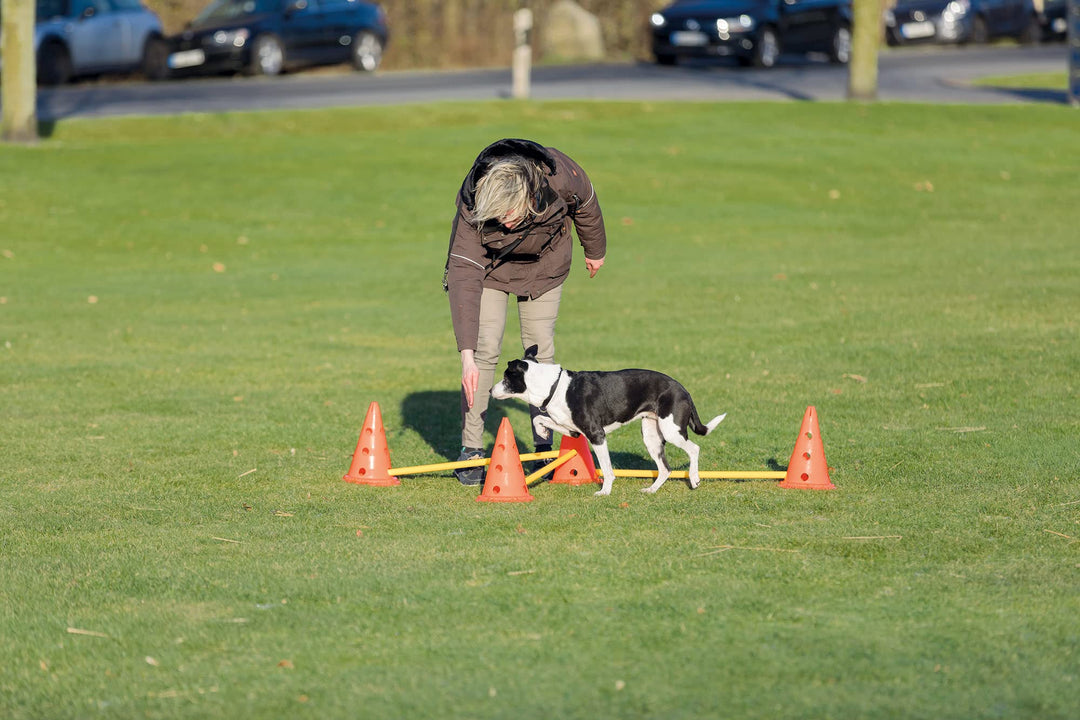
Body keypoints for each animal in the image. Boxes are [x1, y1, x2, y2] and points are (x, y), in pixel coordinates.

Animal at [492, 347, 725, 496]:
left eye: (505, 378)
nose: (489, 390)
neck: (555, 386)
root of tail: (683, 389)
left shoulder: (596, 434)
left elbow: (606, 468)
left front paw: (605, 491)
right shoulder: (573, 430)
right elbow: (541, 418)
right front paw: (541, 431)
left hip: (671, 430)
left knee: (694, 448)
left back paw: (694, 478)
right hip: (652, 436)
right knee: (665, 468)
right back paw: (651, 490)